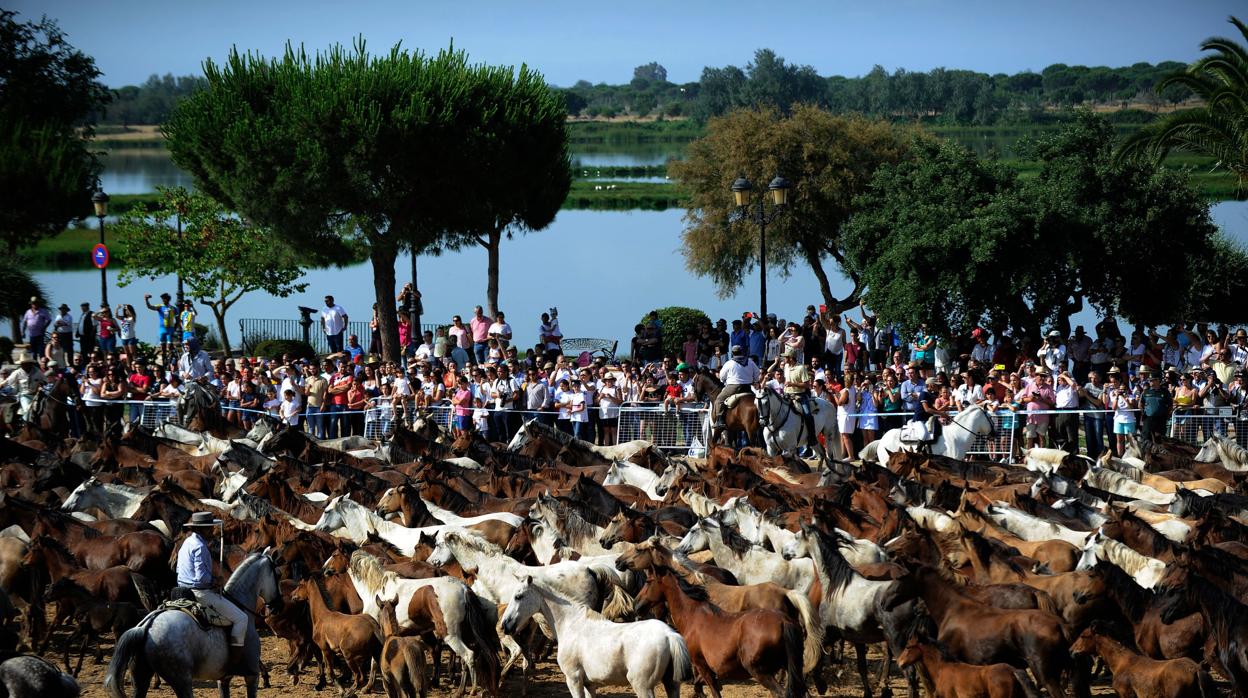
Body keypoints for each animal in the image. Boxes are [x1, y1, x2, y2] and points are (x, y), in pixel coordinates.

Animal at [499, 574, 693, 698]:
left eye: (518, 596)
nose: (505, 625)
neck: (571, 624)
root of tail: (669, 635)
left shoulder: (574, 679)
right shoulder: (589, 685)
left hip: (643, 686)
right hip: (671, 685)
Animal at [633, 564, 808, 698]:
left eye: (648, 581)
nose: (636, 605)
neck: (692, 615)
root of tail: (784, 621)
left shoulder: (701, 664)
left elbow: (713, 689)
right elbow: (701, 682)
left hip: (760, 671)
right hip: (790, 669)